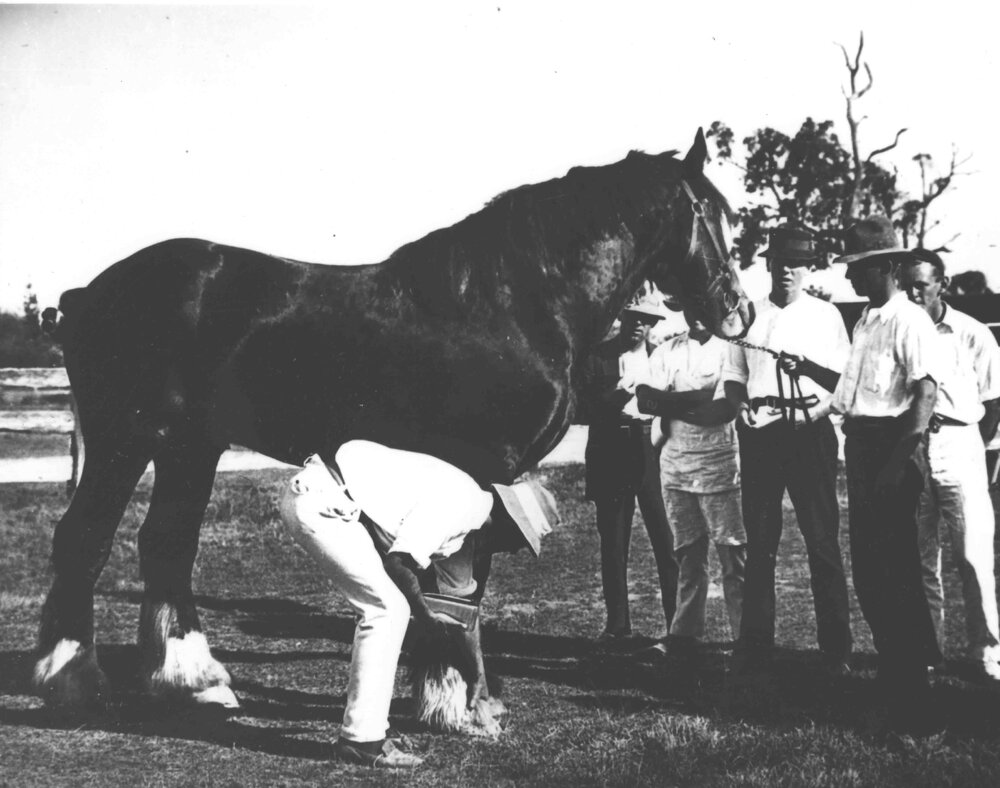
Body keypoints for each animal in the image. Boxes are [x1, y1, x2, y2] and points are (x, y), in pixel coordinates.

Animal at [34, 129, 750, 712]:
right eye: (710, 212)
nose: (736, 308)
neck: (517, 301)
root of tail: (88, 294)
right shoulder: (483, 469)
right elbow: (456, 585)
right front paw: (453, 692)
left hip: (188, 448)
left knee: (166, 546)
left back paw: (196, 679)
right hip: (126, 441)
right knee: (84, 539)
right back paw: (71, 677)